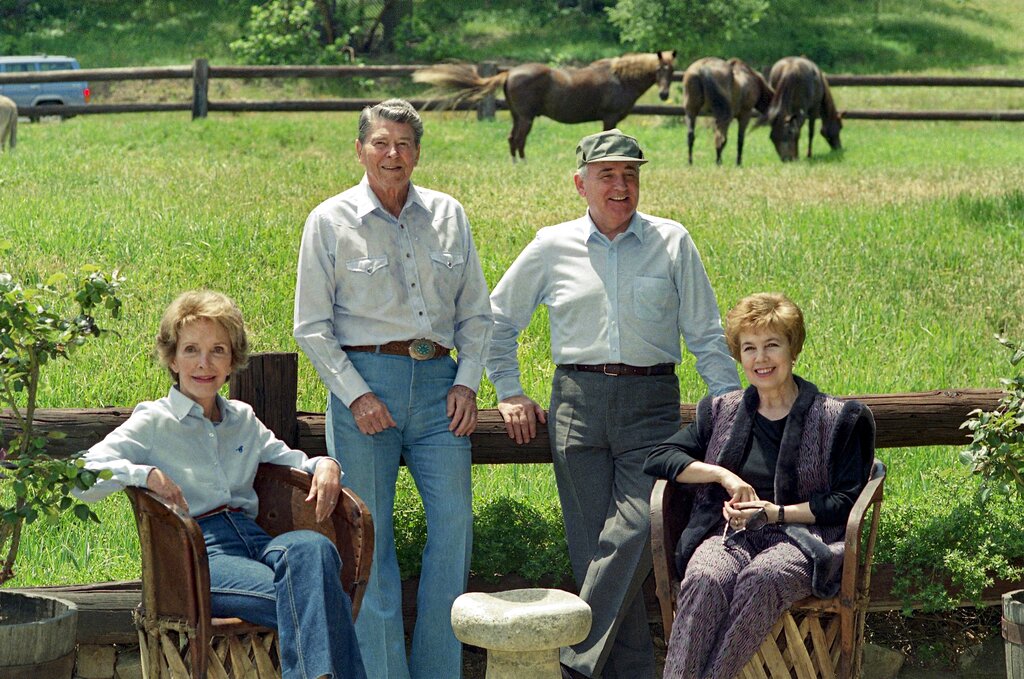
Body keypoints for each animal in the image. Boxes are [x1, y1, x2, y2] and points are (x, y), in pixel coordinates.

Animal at [411, 51, 675, 160]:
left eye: (671, 71)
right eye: (659, 69)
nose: (663, 95)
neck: (620, 78)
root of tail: (510, 73)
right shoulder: (609, 119)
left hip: (517, 116)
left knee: (512, 139)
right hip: (526, 118)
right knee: (519, 140)